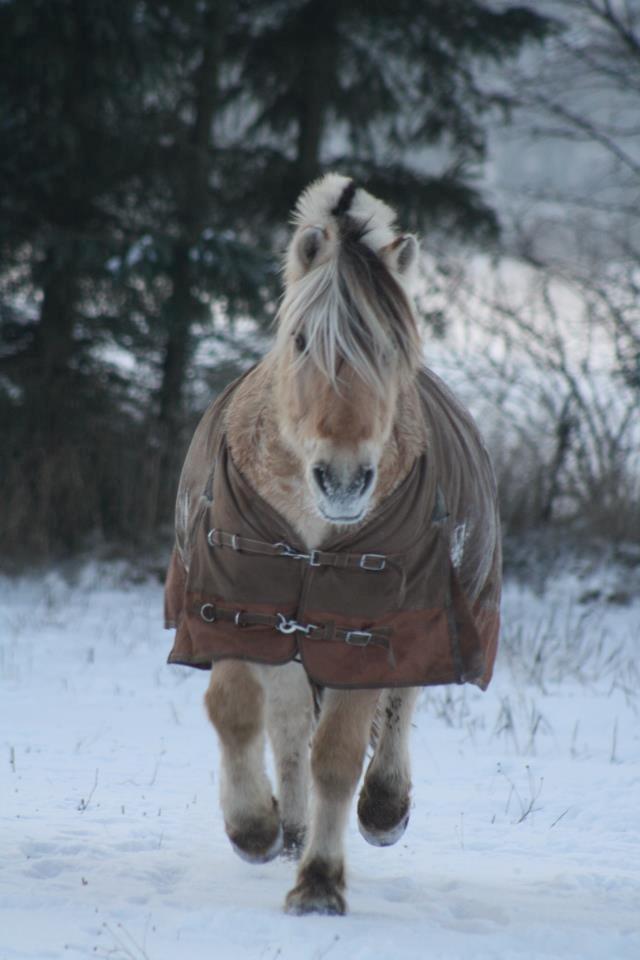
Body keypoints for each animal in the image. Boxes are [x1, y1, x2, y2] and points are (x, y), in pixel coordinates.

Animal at [164, 172, 500, 916]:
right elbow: (236, 711)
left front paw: (319, 882)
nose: (343, 479)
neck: (315, 539)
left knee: (398, 709)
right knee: (289, 723)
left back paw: (382, 810)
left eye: (392, 350)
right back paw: (287, 825)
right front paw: (254, 826)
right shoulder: (236, 607)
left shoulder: (362, 630)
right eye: (298, 341)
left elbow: (339, 754)